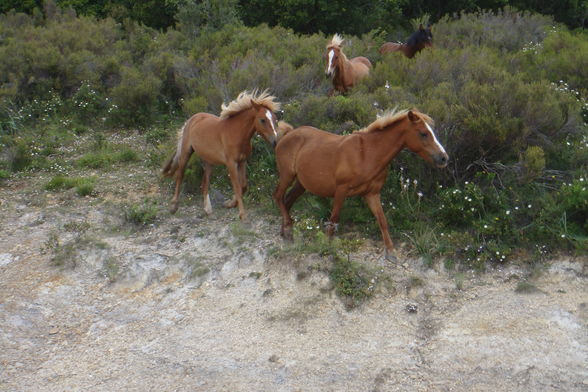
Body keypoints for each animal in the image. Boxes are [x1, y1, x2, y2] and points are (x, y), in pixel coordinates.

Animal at [161, 89, 280, 220]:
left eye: (275, 119)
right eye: (263, 120)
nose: (275, 141)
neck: (237, 134)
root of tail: (192, 118)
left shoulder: (242, 161)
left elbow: (243, 186)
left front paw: (229, 204)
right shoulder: (231, 163)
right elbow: (237, 187)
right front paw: (242, 214)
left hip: (209, 161)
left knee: (204, 183)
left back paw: (207, 209)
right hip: (186, 153)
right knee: (180, 175)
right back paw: (173, 206)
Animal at [274, 108, 448, 258]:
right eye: (423, 134)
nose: (444, 158)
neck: (367, 154)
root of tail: (288, 134)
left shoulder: (372, 194)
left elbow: (382, 221)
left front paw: (391, 252)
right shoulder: (341, 190)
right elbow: (334, 219)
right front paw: (327, 247)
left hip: (301, 184)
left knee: (287, 202)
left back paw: (286, 234)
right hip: (287, 175)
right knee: (278, 196)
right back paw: (288, 228)